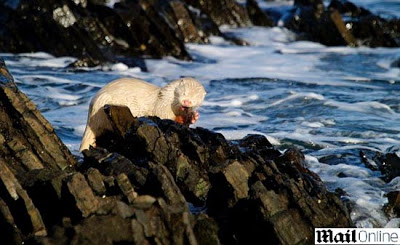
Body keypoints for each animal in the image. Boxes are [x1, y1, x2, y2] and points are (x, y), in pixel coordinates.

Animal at [80, 77, 208, 151]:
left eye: (195, 98)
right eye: (184, 92)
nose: (187, 102)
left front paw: (193, 117)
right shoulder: (162, 105)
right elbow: (164, 116)